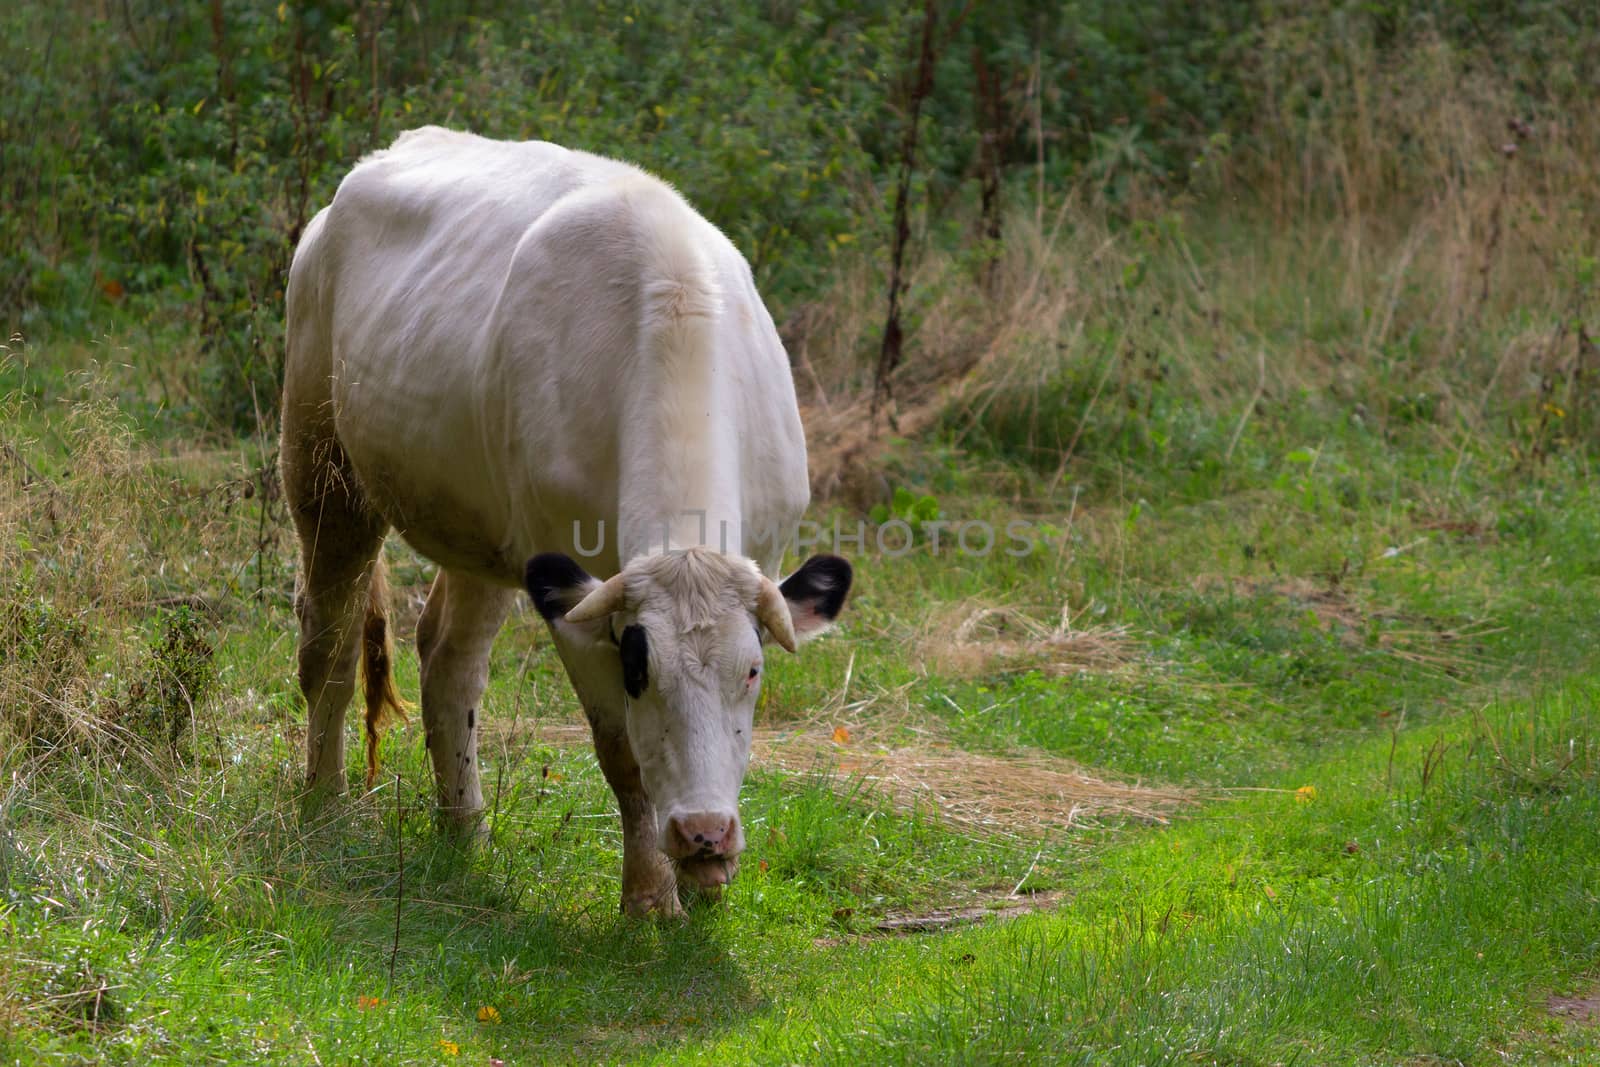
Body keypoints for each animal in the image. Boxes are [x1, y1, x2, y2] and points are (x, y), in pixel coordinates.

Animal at [278, 123, 851, 908]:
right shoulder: (576, 599)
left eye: (754, 670)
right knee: (329, 641)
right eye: (640, 667)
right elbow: (625, 755)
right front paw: (649, 897)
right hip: (322, 463)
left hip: (482, 526)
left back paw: (465, 829)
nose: (704, 832)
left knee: (450, 659)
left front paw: (705, 891)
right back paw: (324, 801)